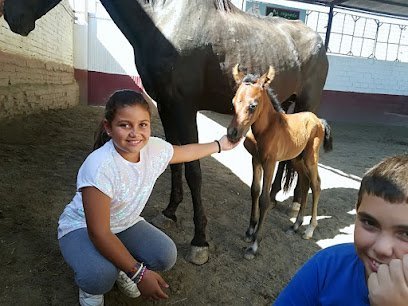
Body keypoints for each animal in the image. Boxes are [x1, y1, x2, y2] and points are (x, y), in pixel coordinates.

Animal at [228, 65, 334, 260]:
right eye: (233, 102)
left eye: (253, 106)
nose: (232, 133)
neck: (266, 129)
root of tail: (318, 120)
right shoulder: (256, 160)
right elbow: (254, 191)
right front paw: (249, 231)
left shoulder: (270, 163)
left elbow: (264, 199)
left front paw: (254, 245)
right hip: (296, 159)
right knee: (305, 182)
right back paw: (295, 225)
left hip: (310, 158)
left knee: (316, 184)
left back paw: (309, 229)